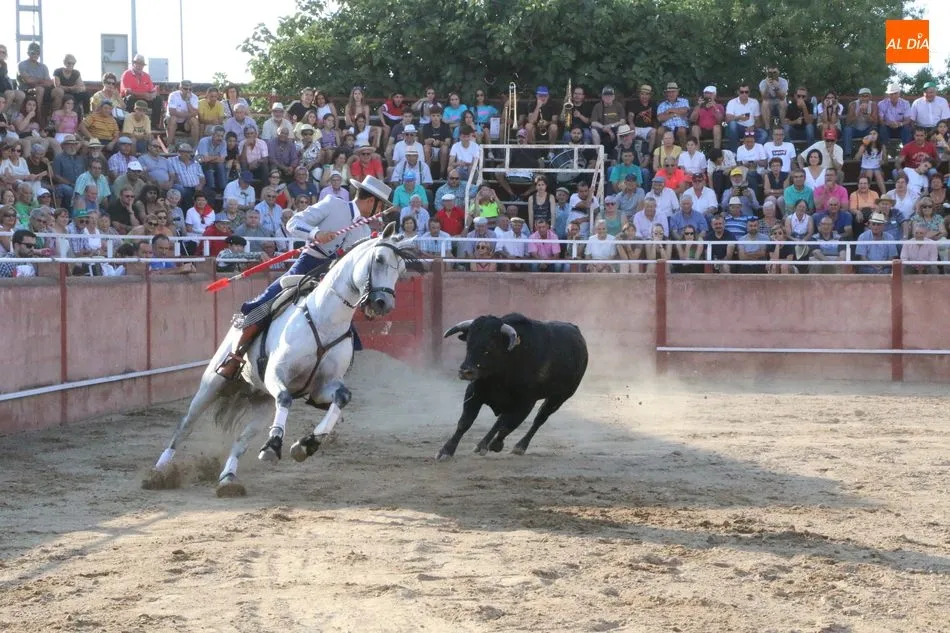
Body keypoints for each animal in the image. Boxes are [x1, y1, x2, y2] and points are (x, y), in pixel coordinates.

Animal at [143, 222, 420, 497]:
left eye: (401, 269)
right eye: (379, 258)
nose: (383, 303)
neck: (325, 320)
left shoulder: (322, 387)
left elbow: (342, 398)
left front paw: (306, 445)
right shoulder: (277, 374)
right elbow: (286, 398)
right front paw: (273, 445)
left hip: (263, 402)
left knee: (241, 440)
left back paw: (228, 480)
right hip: (212, 384)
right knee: (185, 426)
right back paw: (158, 474)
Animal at [437, 313, 588, 459]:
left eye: (490, 346)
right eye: (468, 343)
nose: (465, 371)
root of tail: (575, 329)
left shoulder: (526, 403)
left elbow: (508, 425)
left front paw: (496, 445)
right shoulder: (474, 392)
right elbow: (465, 422)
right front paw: (446, 451)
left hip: (559, 397)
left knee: (539, 419)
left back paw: (519, 446)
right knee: (500, 421)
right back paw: (481, 445)